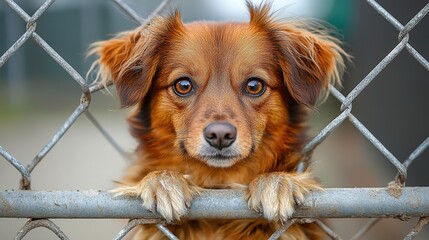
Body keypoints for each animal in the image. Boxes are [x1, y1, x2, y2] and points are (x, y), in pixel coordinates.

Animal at [89, 1, 344, 240]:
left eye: (254, 85)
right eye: (183, 85)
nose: (220, 135)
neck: (219, 184)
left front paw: (276, 182)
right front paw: (162, 182)